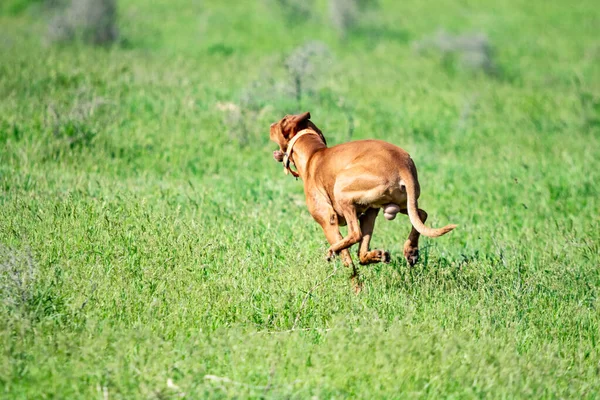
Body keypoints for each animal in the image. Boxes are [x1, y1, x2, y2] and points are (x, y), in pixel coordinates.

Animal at [270, 112, 458, 274]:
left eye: (282, 121)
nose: (270, 125)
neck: (313, 154)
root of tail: (402, 164)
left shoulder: (328, 221)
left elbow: (349, 261)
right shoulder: (365, 214)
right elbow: (358, 253)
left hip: (342, 190)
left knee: (355, 234)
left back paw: (333, 250)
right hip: (392, 205)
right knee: (421, 214)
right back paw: (408, 251)